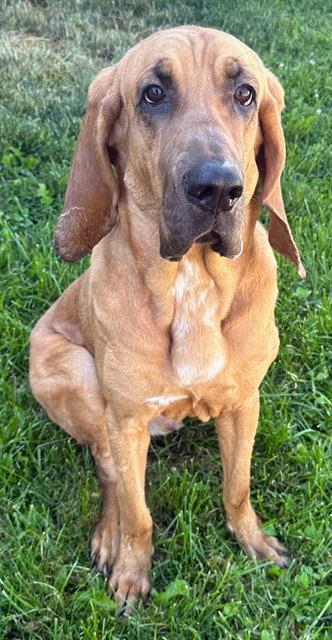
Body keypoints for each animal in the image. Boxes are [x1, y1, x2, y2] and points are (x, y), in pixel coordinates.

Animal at [29, 26, 304, 616]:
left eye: (245, 94)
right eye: (152, 93)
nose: (217, 188)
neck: (193, 283)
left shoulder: (245, 404)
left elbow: (237, 487)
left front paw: (252, 540)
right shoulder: (127, 419)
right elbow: (138, 514)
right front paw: (132, 571)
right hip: (74, 374)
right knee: (108, 467)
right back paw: (107, 536)